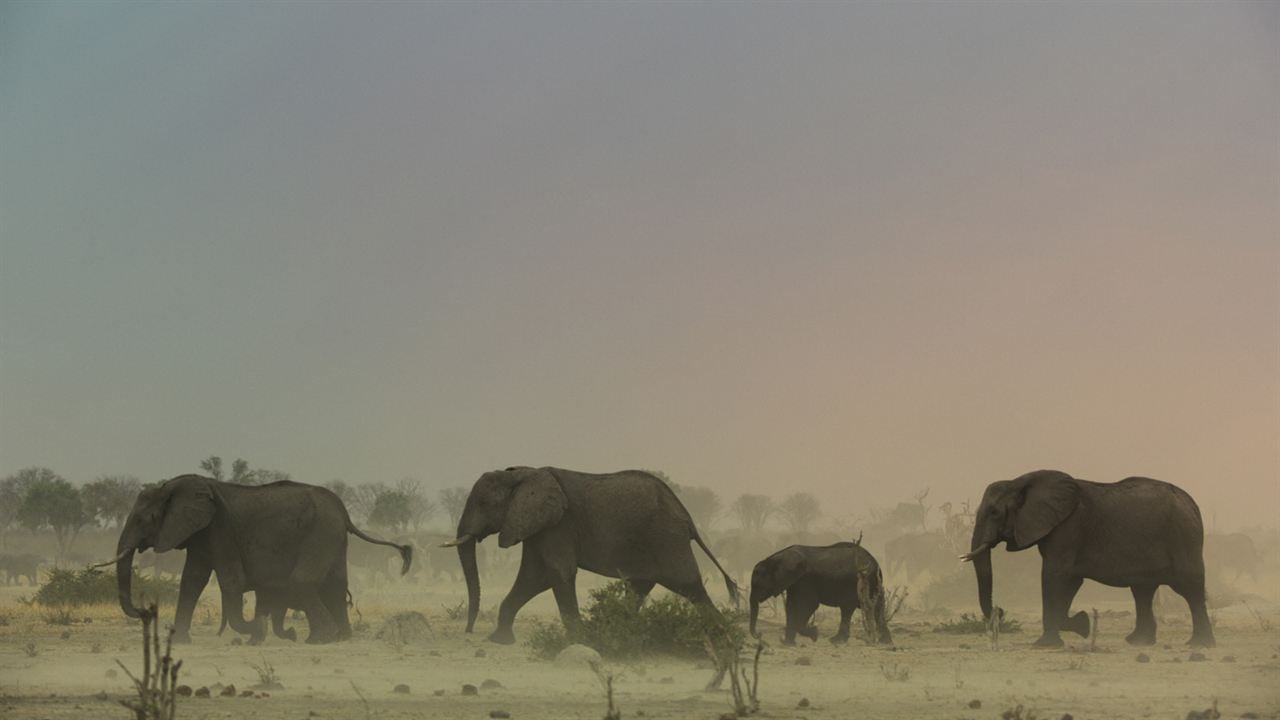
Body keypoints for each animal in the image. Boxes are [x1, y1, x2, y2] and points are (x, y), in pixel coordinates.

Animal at [110, 474, 412, 640]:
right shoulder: (201, 533)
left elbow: (230, 580)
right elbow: (192, 580)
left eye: (143, 519)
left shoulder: (221, 529)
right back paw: (339, 639)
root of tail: (344, 511)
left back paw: (320, 640)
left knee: (302, 582)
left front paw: (256, 629)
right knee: (335, 585)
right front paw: (182, 641)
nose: (144, 611)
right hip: (333, 538)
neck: (172, 486)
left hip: (320, 533)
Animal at [445, 466, 742, 645]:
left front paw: (576, 641)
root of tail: (688, 517)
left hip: (666, 538)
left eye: (484, 503)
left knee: (688, 585)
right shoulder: (537, 526)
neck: (523, 473)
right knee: (640, 586)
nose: (469, 631)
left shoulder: (558, 525)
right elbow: (533, 578)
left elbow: (556, 573)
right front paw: (500, 640)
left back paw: (723, 639)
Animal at [747, 538, 896, 645]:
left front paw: (814, 634)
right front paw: (788, 643)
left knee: (848, 609)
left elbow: (807, 605)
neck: (775, 558)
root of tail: (875, 562)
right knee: (875, 608)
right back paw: (885, 642)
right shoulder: (795, 582)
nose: (759, 635)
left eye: (758, 584)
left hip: (861, 582)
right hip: (873, 582)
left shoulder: (806, 580)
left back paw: (837, 641)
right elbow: (790, 606)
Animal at [962, 468, 1213, 648]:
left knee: (1189, 588)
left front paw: (1046, 644)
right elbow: (1070, 580)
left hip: (1183, 536)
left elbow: (1054, 575)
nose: (1000, 611)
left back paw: (1199, 645)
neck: (1020, 480)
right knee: (1142, 590)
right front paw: (1081, 624)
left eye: (994, 512)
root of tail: (1193, 504)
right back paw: (1138, 642)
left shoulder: (1069, 528)